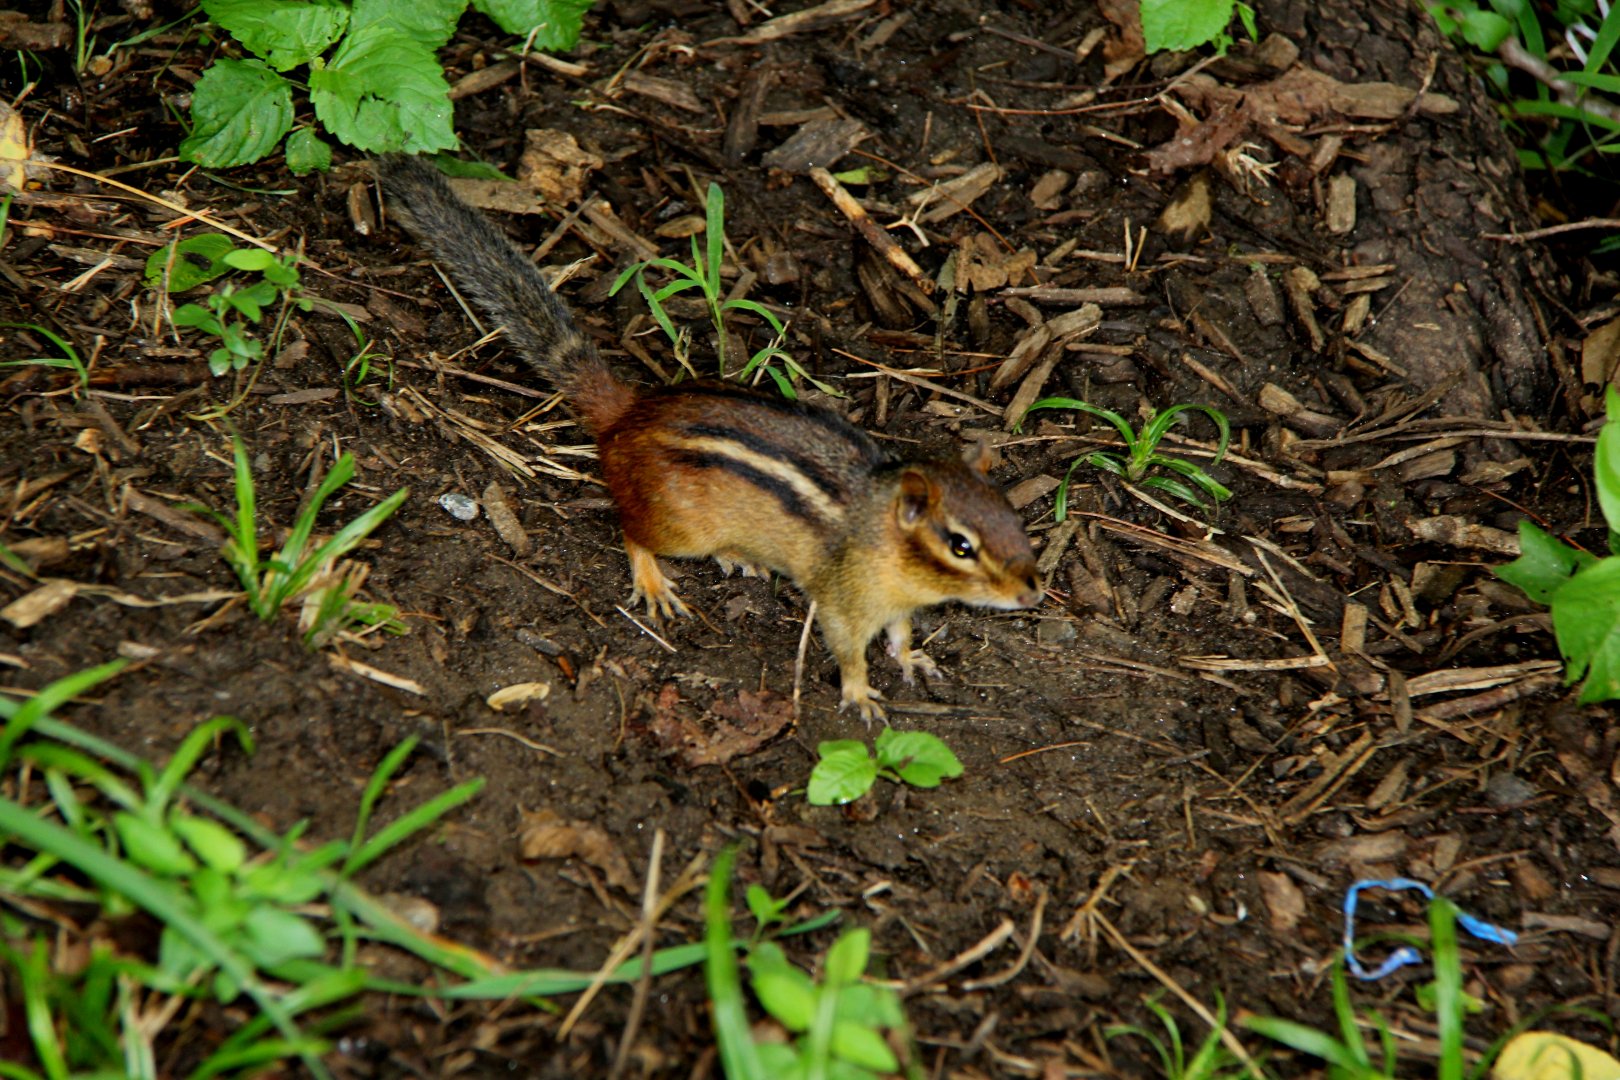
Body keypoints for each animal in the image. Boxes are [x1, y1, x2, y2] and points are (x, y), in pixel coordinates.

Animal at [374, 154, 1042, 720]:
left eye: (1012, 520)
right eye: (960, 546)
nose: (1033, 595)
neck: (878, 531)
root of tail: (627, 413)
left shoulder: (899, 606)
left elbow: (900, 636)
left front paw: (912, 658)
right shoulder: (844, 600)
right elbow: (848, 649)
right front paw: (859, 693)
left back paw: (737, 556)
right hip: (676, 525)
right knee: (632, 531)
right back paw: (654, 579)